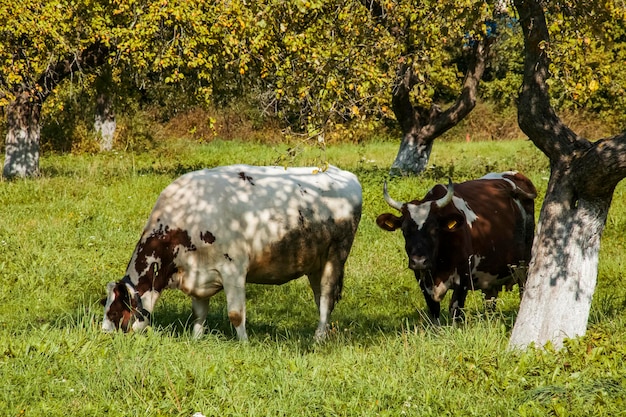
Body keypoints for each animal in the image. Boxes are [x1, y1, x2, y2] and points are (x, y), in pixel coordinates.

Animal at [98, 164, 360, 340]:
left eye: (116, 311)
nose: (104, 336)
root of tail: (345, 174)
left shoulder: (233, 269)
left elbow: (235, 314)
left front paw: (244, 343)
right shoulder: (197, 273)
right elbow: (199, 313)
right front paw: (196, 339)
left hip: (336, 256)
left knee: (326, 297)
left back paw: (318, 339)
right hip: (314, 262)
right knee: (321, 299)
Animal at [372, 171, 532, 320]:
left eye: (434, 229)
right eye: (405, 230)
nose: (419, 261)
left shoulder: (463, 280)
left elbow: (455, 311)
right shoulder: (422, 280)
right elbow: (434, 312)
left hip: (525, 266)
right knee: (490, 303)